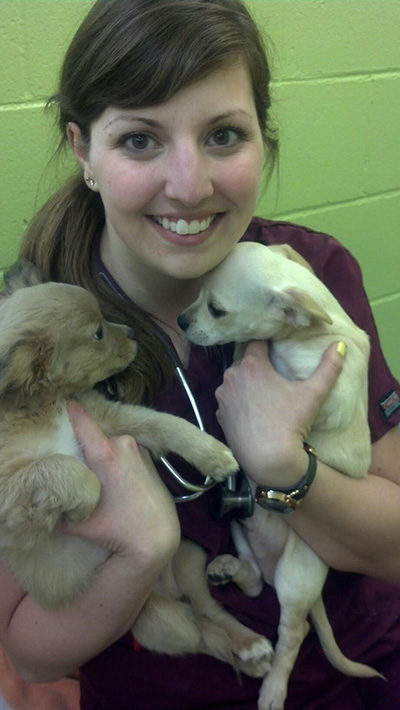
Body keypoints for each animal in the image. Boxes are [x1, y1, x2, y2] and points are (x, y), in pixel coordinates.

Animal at [0, 260, 276, 680]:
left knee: (211, 613)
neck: (43, 406)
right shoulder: (11, 491)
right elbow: (58, 467)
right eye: (97, 333)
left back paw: (250, 643)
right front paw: (84, 503)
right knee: (203, 632)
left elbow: (164, 424)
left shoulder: (111, 417)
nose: (131, 332)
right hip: (152, 621)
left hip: (188, 557)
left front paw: (212, 452)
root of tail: (164, 589)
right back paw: (249, 653)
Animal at [178, 243, 382, 710]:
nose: (181, 320)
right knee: (254, 584)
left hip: (295, 577)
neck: (305, 334)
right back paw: (227, 569)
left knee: (294, 632)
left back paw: (274, 688)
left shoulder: (329, 388)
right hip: (240, 527)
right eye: (198, 294)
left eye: (216, 310)